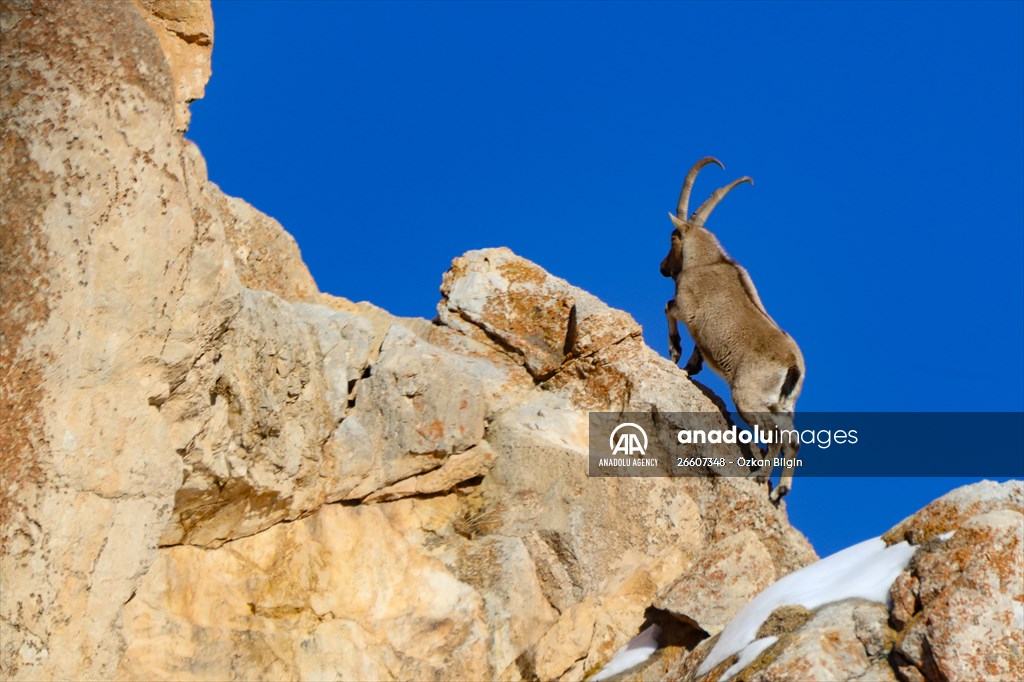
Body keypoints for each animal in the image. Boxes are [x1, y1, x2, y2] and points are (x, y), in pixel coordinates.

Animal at [660, 157, 805, 503]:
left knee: (775, 437)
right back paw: (780, 489)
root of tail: (793, 366)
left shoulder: (687, 306)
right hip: (784, 406)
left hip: (748, 397)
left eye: (672, 237)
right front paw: (692, 365)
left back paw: (760, 476)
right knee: (793, 440)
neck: (708, 262)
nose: (663, 268)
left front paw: (675, 352)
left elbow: (668, 307)